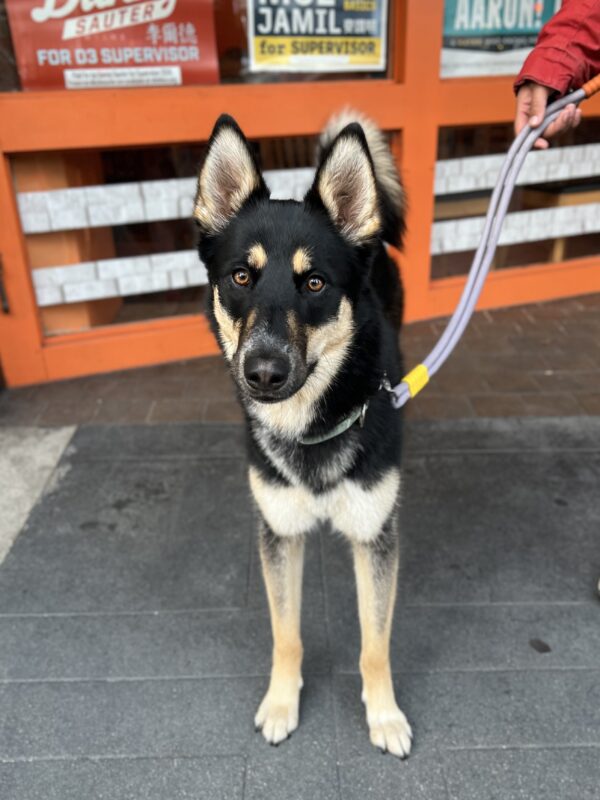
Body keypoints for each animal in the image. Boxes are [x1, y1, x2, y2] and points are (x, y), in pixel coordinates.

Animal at [195, 111, 410, 756]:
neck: (310, 425)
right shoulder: (279, 532)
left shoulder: (376, 535)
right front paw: (280, 703)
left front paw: (384, 715)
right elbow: (285, 634)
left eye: (314, 284)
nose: (263, 372)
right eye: (241, 276)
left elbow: (375, 642)